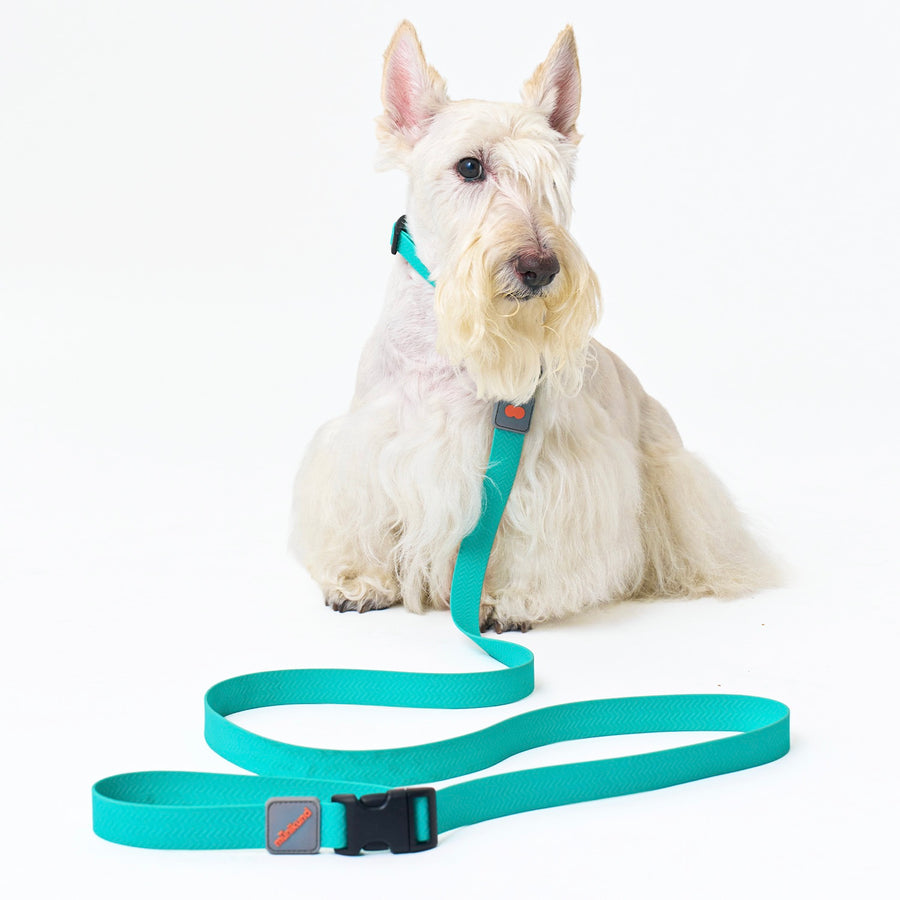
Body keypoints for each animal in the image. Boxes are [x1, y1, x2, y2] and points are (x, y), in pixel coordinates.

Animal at [290, 21, 776, 633]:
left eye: (554, 179)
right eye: (469, 166)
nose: (540, 268)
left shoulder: (546, 467)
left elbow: (527, 538)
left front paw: (506, 599)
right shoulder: (366, 444)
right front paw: (361, 580)